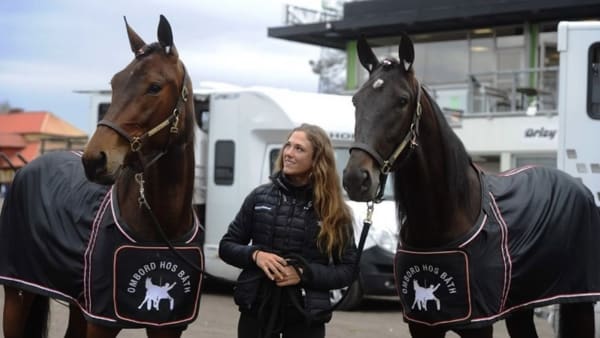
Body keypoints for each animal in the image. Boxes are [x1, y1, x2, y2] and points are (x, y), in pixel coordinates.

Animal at [0, 14, 204, 336]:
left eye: (154, 86)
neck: (162, 227)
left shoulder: (167, 325)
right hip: (18, 293)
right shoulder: (101, 322)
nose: (94, 160)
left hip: (76, 303)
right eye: (114, 83)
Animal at [342, 33, 600, 336]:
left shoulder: (478, 325)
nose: (355, 179)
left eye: (402, 100)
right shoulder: (423, 325)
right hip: (521, 307)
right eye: (356, 101)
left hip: (579, 301)